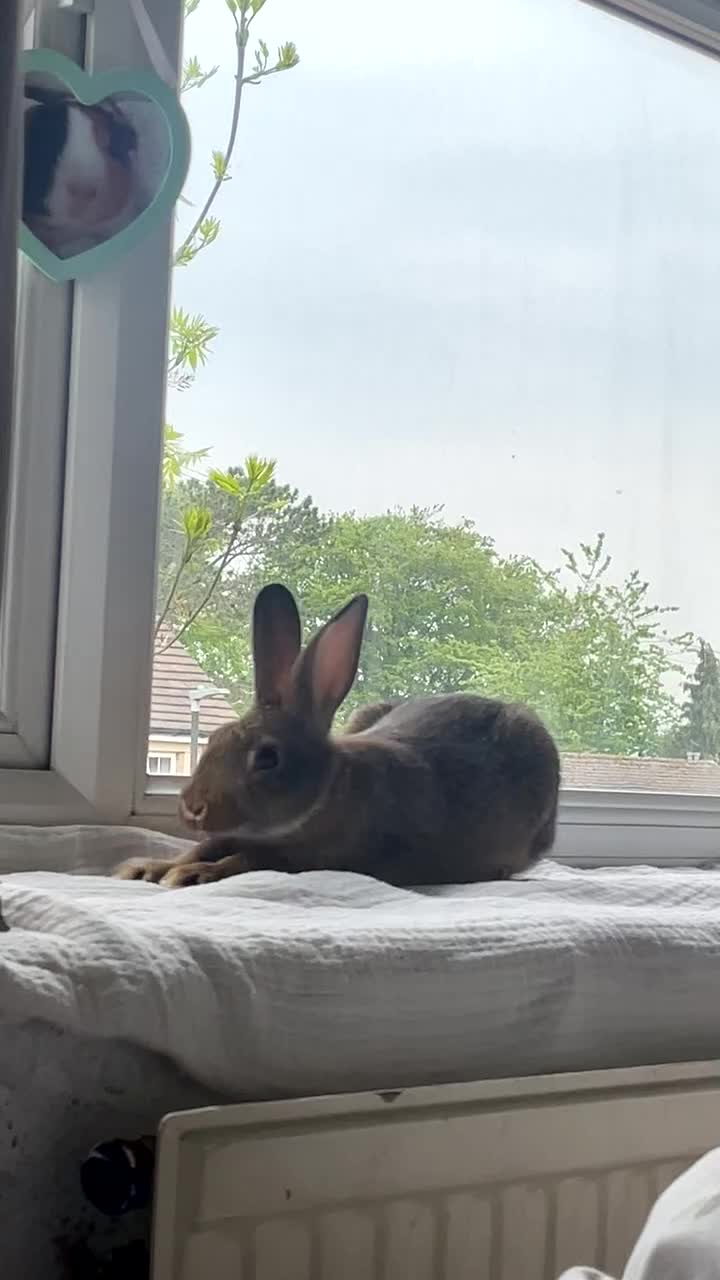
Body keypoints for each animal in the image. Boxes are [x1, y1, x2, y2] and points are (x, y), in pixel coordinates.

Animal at [115, 584, 560, 888]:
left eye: (268, 758)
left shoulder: (319, 857)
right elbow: (203, 847)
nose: (193, 808)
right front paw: (144, 868)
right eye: (215, 739)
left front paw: (192, 876)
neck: (327, 792)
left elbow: (249, 862)